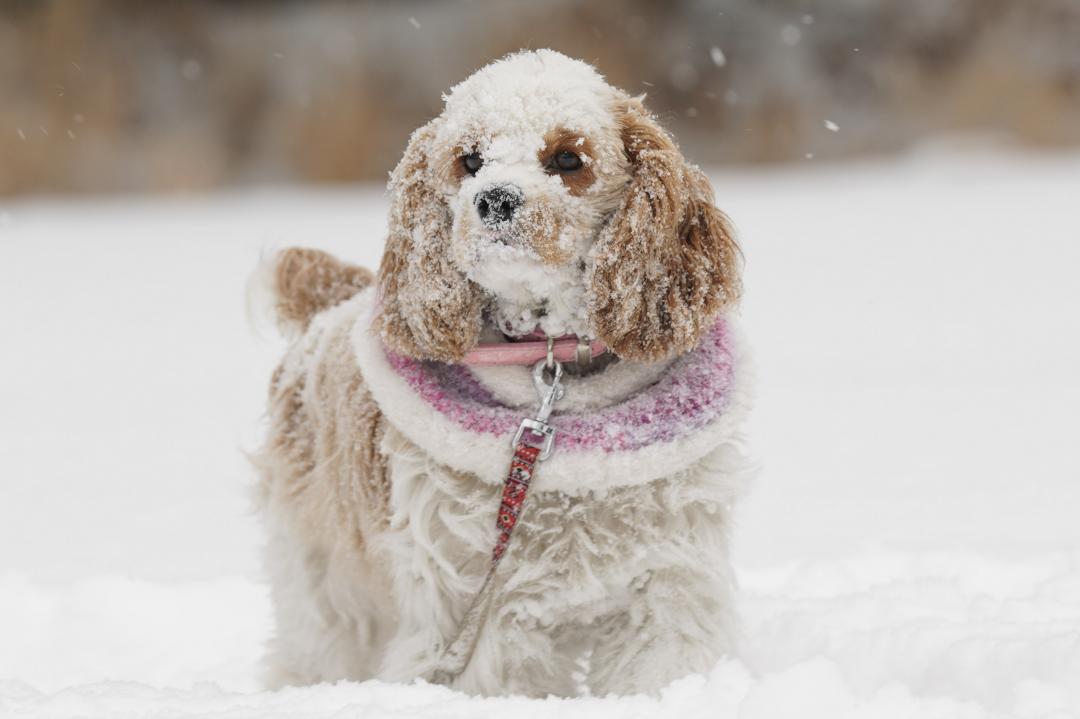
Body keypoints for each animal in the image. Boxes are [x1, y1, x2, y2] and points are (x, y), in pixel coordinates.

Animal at [257, 49, 756, 695]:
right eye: (469, 161)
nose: (494, 199)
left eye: (567, 159)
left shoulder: (668, 585)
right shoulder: (485, 611)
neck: (555, 364)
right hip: (327, 584)